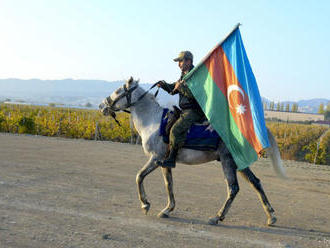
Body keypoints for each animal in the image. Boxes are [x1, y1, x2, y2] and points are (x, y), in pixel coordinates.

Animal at [98, 77, 286, 227]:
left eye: (118, 91)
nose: (102, 106)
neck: (152, 121)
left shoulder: (155, 158)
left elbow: (139, 177)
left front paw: (145, 204)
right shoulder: (165, 163)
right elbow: (169, 185)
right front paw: (167, 209)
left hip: (228, 161)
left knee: (233, 188)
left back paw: (217, 217)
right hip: (239, 163)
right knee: (256, 182)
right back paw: (271, 217)